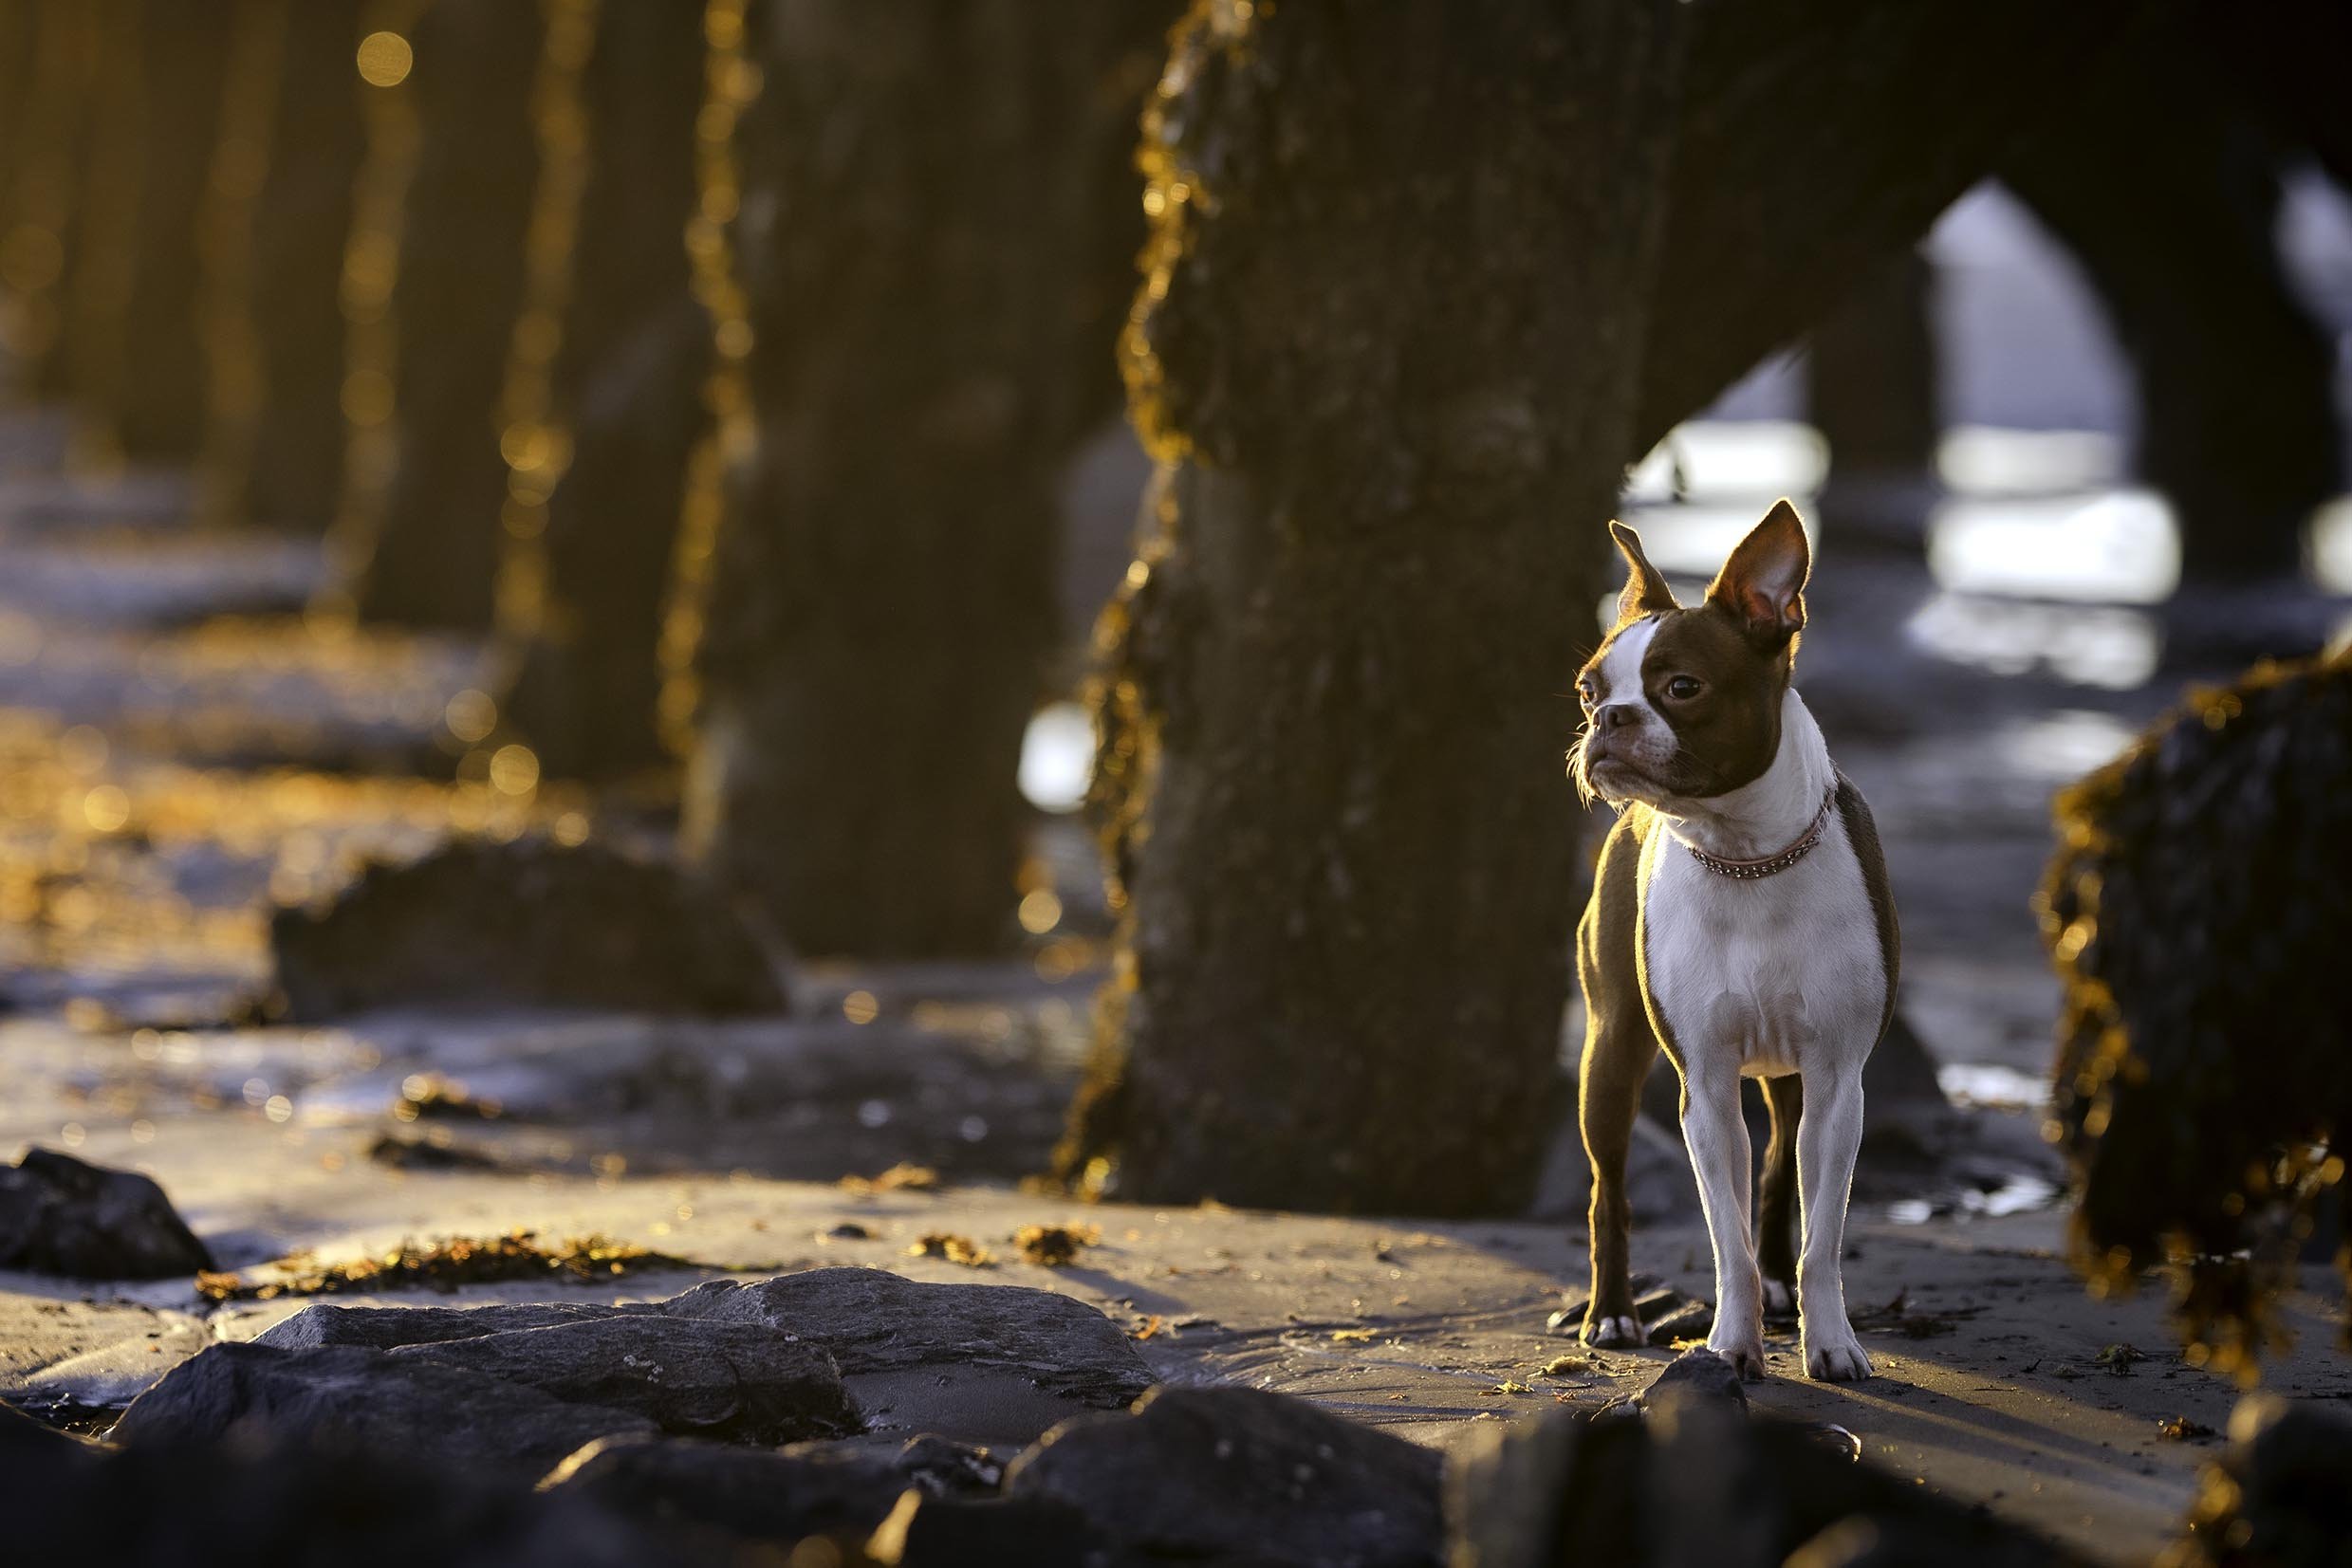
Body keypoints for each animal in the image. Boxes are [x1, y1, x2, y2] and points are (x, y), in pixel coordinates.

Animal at [1570, 505, 1900, 1382]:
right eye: (1588, 689)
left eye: (1681, 687)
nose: (1606, 720)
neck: (1745, 856)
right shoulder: (1707, 1088)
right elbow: (1725, 1237)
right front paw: (1729, 1343)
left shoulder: (1838, 1080)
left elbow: (1822, 1233)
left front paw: (1830, 1341)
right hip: (1609, 1051)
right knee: (1608, 1188)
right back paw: (1611, 1313)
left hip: (1790, 1078)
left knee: (1781, 1162)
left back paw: (1781, 1289)